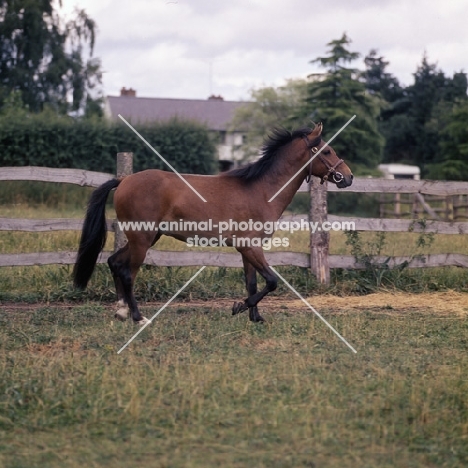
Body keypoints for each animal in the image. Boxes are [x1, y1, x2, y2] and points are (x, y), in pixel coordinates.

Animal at [72, 122, 352, 324]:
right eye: (327, 151)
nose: (347, 177)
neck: (260, 190)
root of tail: (124, 180)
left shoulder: (247, 249)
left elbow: (252, 282)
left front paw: (255, 317)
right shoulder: (251, 247)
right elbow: (271, 281)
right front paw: (239, 307)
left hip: (146, 238)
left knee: (115, 262)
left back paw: (121, 312)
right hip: (142, 239)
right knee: (128, 273)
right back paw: (138, 318)